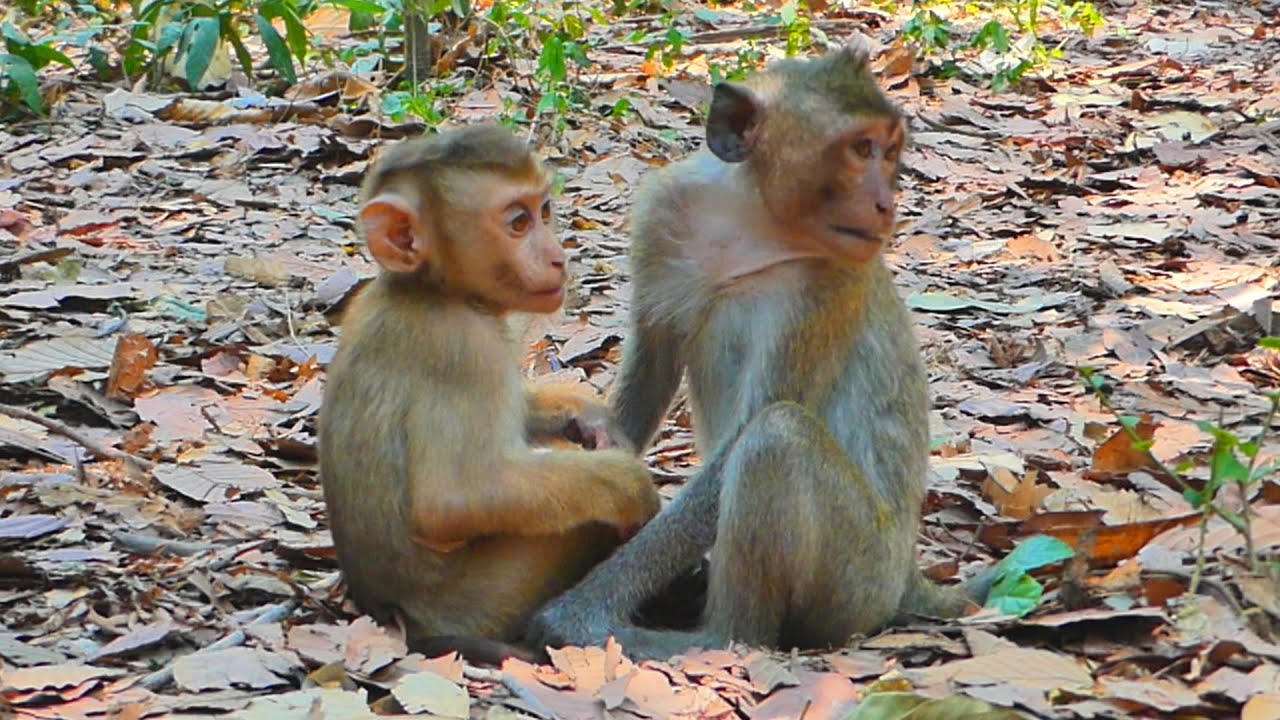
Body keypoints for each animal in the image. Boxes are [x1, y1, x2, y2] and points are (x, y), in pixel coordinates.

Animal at [317, 125, 661, 664]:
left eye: (544, 211)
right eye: (518, 222)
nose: (558, 257)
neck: (433, 291)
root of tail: (387, 611)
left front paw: (585, 414)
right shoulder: (461, 349)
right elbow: (453, 499)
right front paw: (629, 485)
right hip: (492, 595)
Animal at [525, 42, 994, 661]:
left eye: (889, 150)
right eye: (862, 148)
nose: (886, 202)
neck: (749, 222)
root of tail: (908, 579)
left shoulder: (829, 284)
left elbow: (747, 436)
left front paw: (580, 608)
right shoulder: (662, 214)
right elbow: (650, 371)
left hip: (858, 576)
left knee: (777, 437)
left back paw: (715, 636)